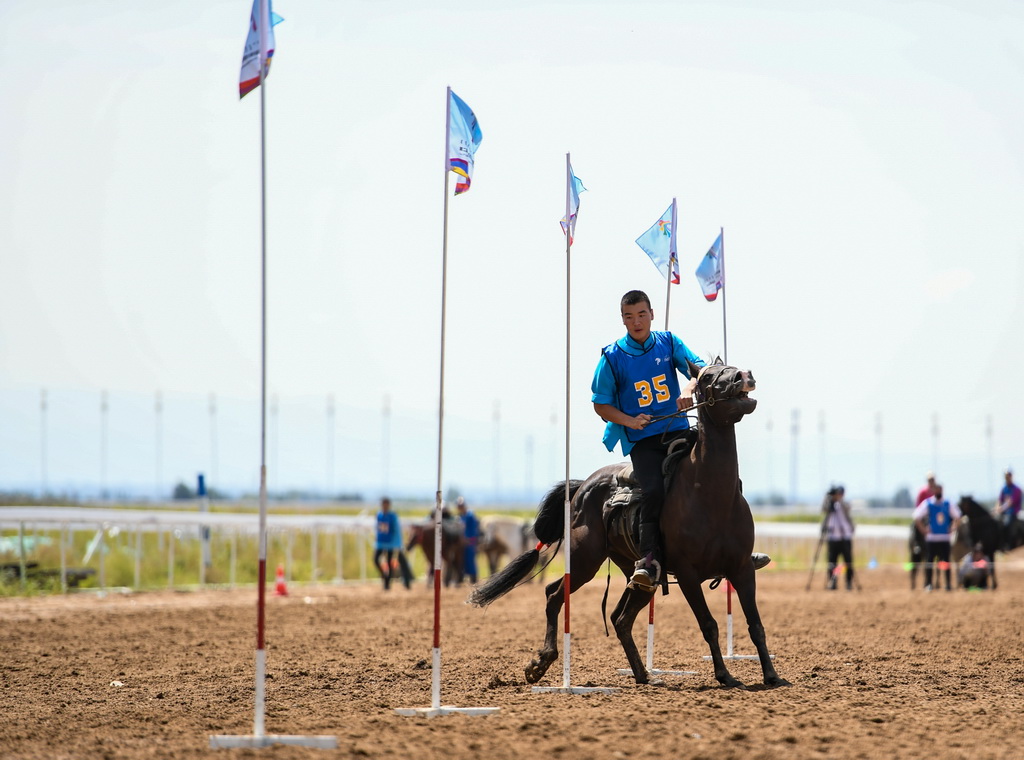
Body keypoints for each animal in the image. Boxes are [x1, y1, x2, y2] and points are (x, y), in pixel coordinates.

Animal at [468, 362, 786, 692]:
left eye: (730, 368)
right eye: (708, 376)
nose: (742, 376)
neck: (712, 496)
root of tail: (582, 487)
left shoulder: (742, 568)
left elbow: (756, 625)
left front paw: (772, 675)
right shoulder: (688, 575)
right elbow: (709, 625)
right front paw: (725, 676)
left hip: (638, 574)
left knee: (620, 618)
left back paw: (643, 675)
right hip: (583, 561)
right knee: (554, 595)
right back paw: (541, 663)